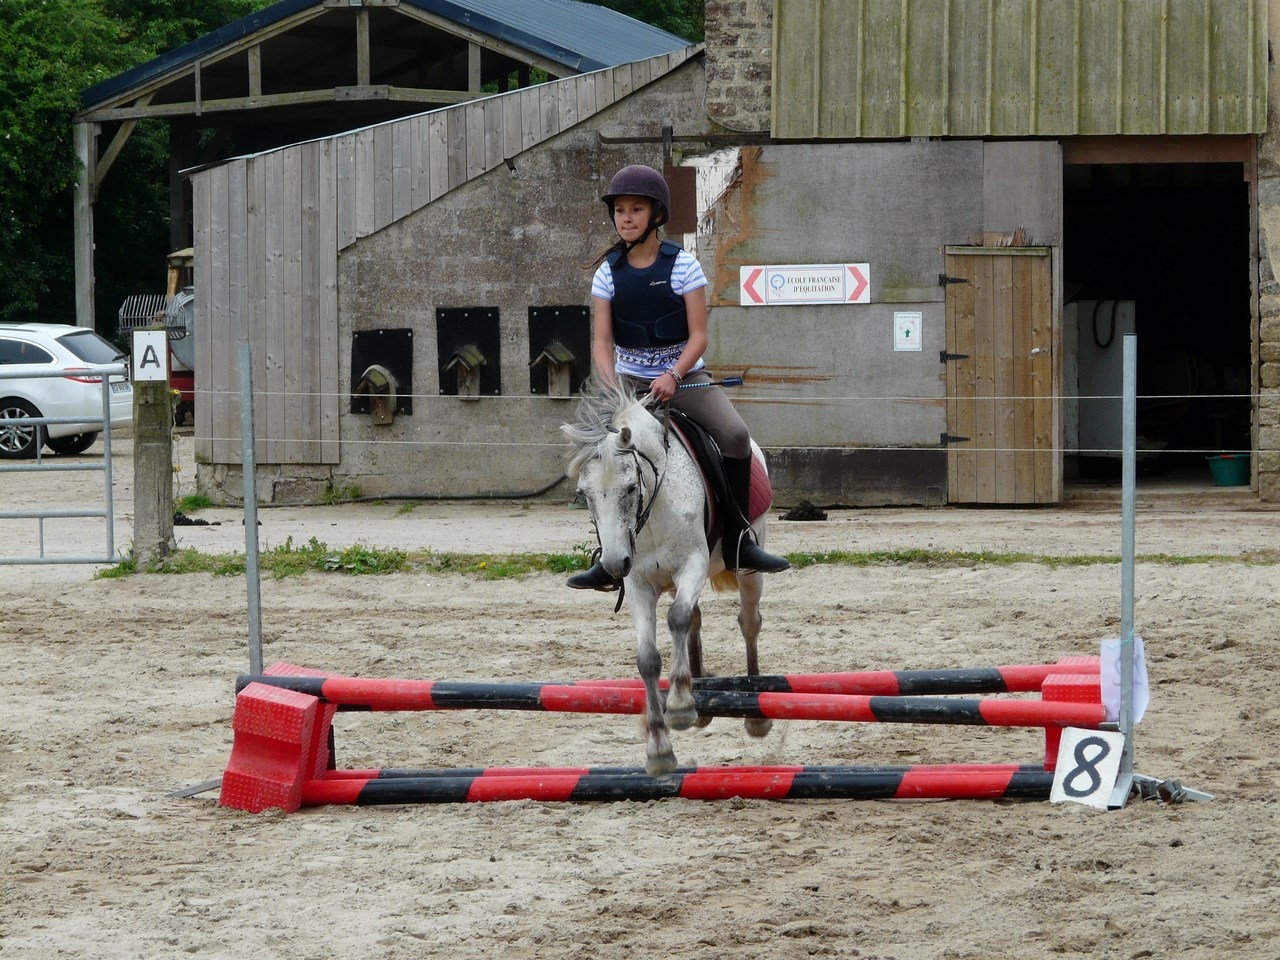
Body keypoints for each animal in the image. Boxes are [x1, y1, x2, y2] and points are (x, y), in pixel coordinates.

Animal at [563, 378, 778, 778]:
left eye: (631, 488)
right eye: (584, 494)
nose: (613, 563)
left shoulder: (692, 563)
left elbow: (676, 617)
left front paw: (679, 707)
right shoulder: (638, 584)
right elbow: (648, 657)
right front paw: (659, 750)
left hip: (749, 568)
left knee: (748, 622)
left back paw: (755, 714)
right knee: (694, 617)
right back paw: (700, 695)